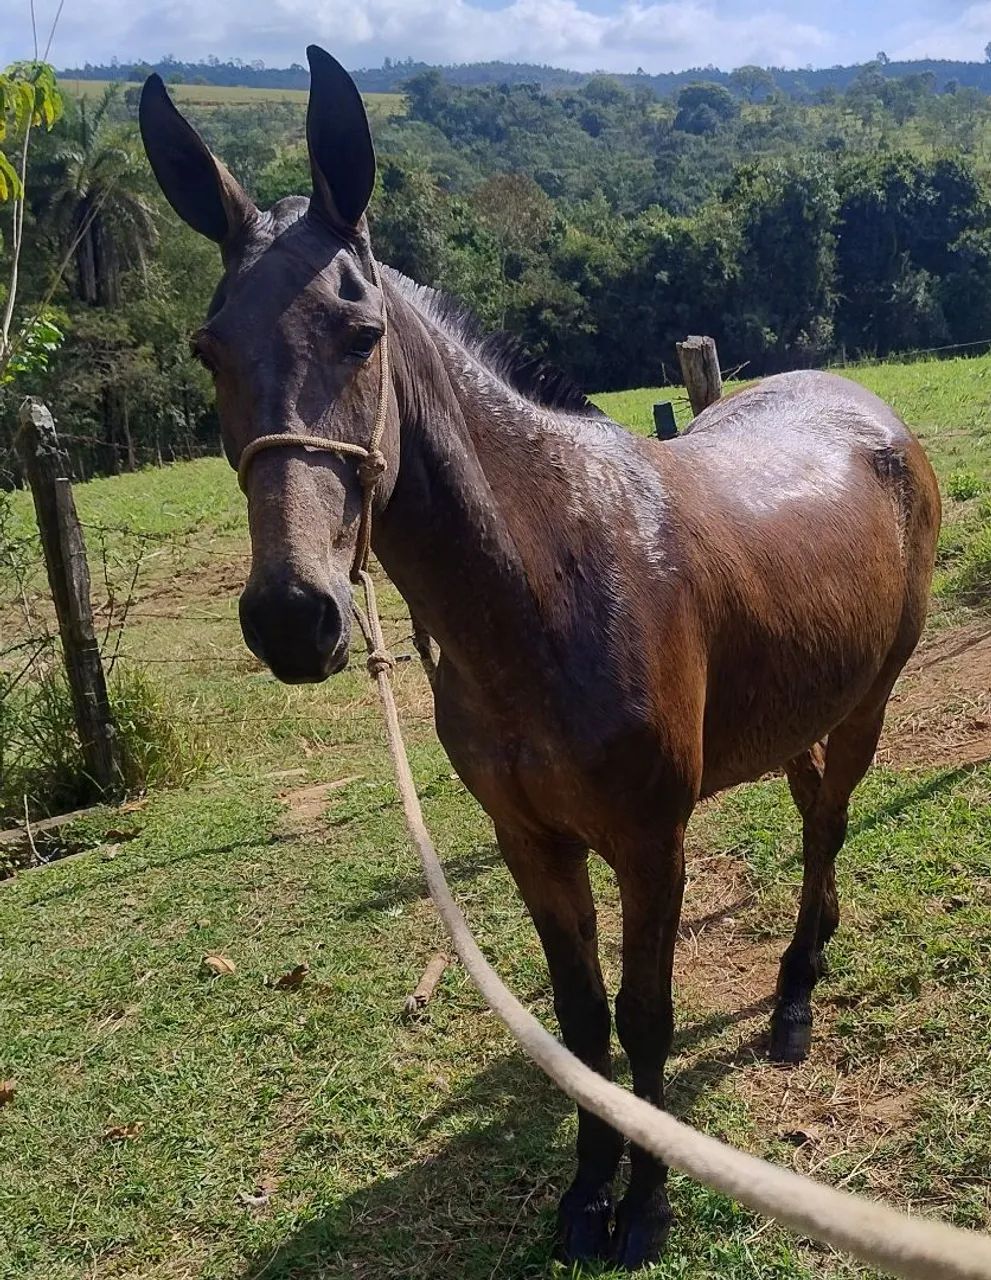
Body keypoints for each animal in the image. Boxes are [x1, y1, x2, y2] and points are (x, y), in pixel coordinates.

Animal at [139, 48, 941, 1270]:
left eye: (361, 334)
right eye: (208, 348)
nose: (291, 615)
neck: (550, 580)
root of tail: (867, 406)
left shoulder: (650, 843)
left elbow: (646, 1017)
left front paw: (646, 1203)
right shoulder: (530, 842)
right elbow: (579, 1021)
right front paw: (584, 1190)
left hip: (868, 702)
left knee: (827, 822)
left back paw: (796, 995)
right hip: (800, 704)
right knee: (813, 809)